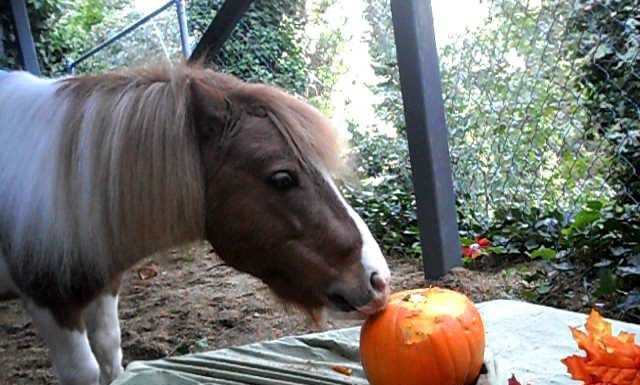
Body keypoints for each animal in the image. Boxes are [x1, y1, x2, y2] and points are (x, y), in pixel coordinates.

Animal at [0, 64, 390, 384]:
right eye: (282, 178)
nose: (378, 278)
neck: (57, 182)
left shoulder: (104, 282)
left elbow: (110, 354)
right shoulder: (49, 302)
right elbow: (84, 371)